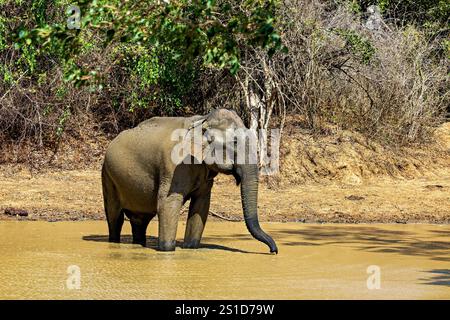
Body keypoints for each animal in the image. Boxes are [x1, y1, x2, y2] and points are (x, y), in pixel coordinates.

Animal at [102, 109, 278, 254]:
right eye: (234, 142)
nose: (273, 251)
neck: (202, 120)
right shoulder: (173, 166)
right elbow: (167, 202)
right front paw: (167, 250)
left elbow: (201, 205)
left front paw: (190, 248)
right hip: (107, 176)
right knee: (114, 217)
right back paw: (114, 242)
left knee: (140, 220)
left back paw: (138, 243)